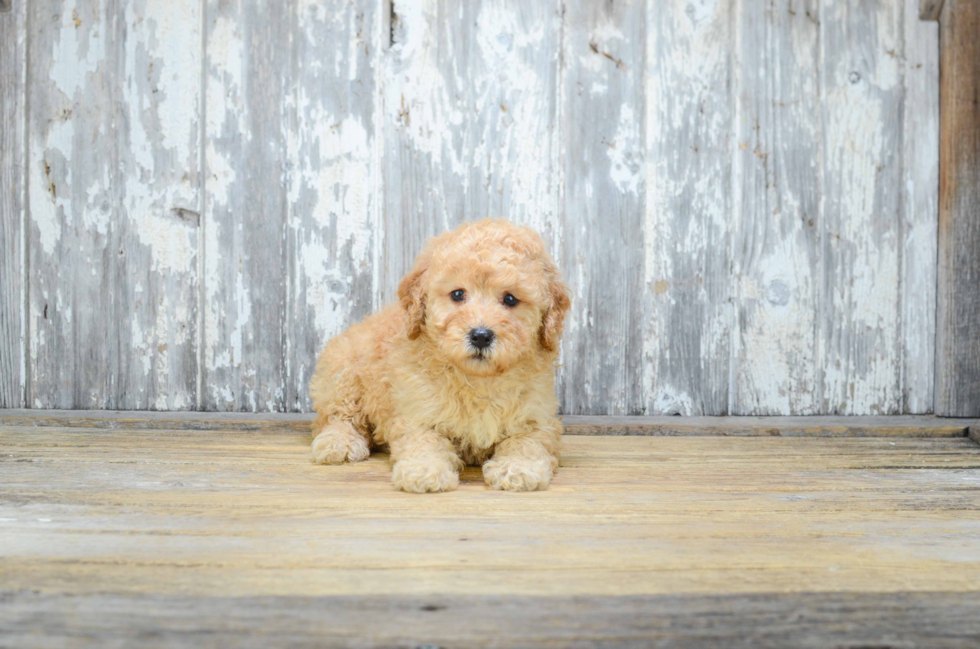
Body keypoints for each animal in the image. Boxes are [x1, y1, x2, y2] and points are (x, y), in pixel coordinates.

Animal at [310, 218, 572, 492]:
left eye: (510, 299)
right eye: (457, 294)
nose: (480, 335)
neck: (479, 380)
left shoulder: (537, 417)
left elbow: (527, 442)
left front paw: (518, 469)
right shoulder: (417, 413)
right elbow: (423, 440)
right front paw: (424, 470)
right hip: (342, 370)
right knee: (338, 417)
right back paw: (339, 442)